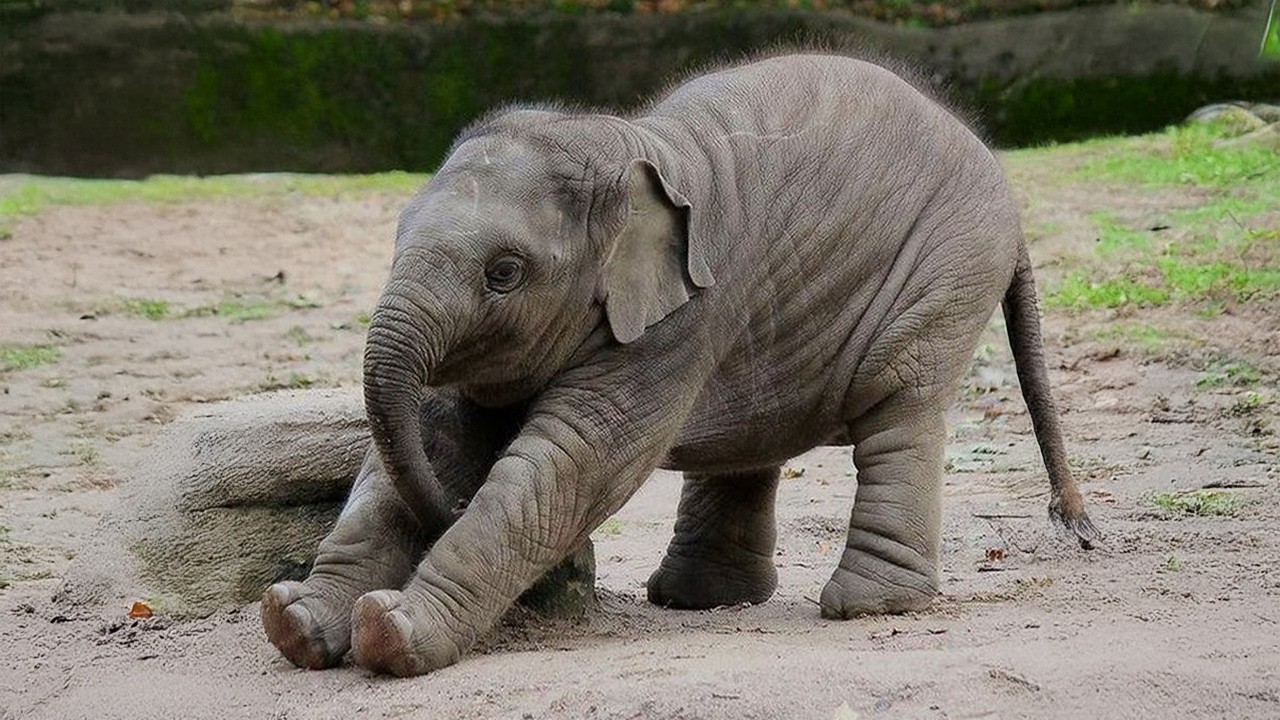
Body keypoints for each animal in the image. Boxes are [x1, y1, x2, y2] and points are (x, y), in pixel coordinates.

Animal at [261, 53, 1099, 677]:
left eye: (504, 273)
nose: (449, 509)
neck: (622, 144)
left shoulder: (684, 320)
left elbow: (573, 461)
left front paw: (390, 633)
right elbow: (436, 439)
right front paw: (294, 621)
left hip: (948, 264)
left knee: (900, 405)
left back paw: (866, 608)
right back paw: (697, 600)